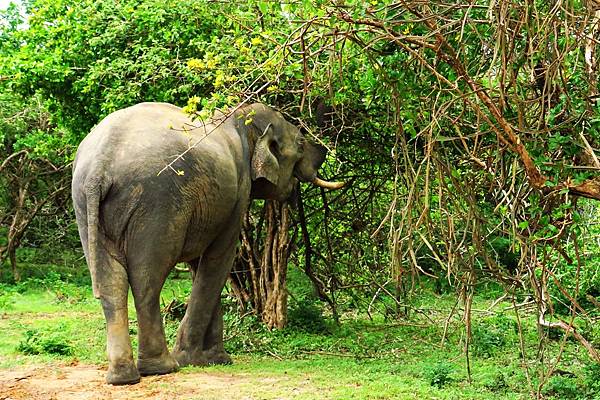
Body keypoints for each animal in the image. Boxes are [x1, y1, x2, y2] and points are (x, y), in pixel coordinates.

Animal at [70, 102, 342, 384]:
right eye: (300, 144)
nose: (324, 151)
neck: (238, 116)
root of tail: (100, 165)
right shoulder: (239, 193)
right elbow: (218, 260)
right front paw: (202, 359)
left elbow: (198, 264)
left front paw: (212, 359)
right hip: (156, 205)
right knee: (148, 280)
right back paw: (163, 367)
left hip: (84, 206)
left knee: (111, 283)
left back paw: (123, 377)